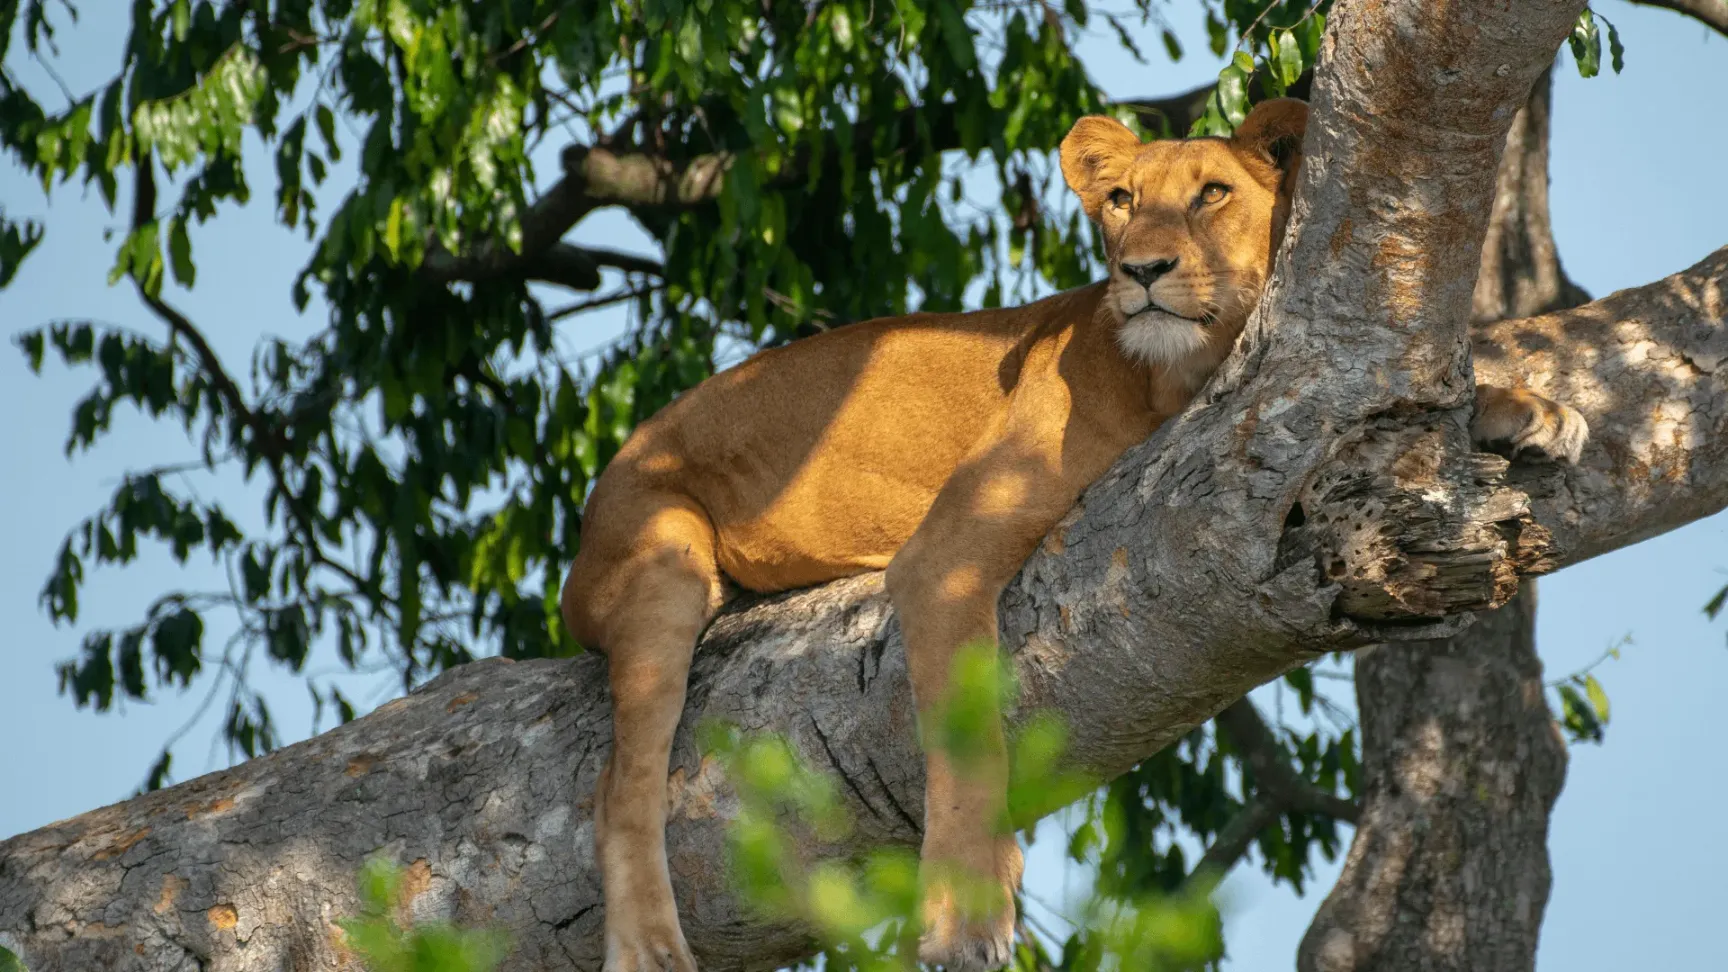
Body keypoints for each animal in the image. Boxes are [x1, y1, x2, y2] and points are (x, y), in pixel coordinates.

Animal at [559, 97, 1588, 972]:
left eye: (1212, 194)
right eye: (1123, 201)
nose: (1142, 271)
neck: (1181, 375)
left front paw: (1530, 408)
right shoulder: (946, 553)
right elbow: (967, 742)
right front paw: (965, 916)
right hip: (662, 560)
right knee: (618, 786)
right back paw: (651, 944)